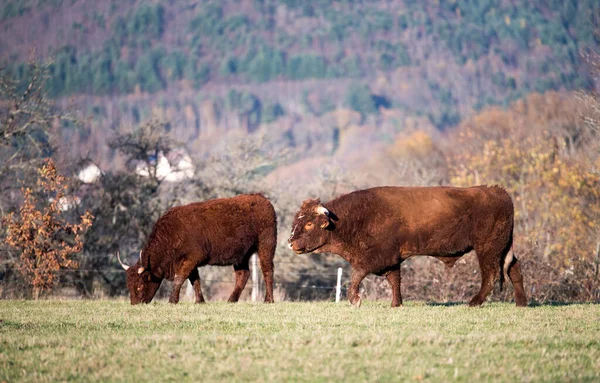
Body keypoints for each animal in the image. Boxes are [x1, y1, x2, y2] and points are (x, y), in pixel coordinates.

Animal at [116, 195, 276, 306]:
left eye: (139, 286)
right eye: (128, 286)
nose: (135, 304)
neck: (171, 233)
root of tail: (262, 199)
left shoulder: (192, 258)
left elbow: (179, 278)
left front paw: (172, 300)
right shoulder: (190, 262)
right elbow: (195, 280)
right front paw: (200, 301)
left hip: (265, 246)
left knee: (267, 271)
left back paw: (269, 300)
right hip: (241, 256)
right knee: (243, 275)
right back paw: (231, 300)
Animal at [288, 186, 528, 308]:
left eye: (309, 223)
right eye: (295, 222)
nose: (290, 242)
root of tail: (498, 191)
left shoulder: (376, 258)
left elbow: (357, 275)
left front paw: (355, 300)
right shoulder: (392, 260)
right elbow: (395, 281)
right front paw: (396, 304)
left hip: (487, 249)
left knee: (491, 275)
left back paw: (474, 302)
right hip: (503, 249)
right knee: (514, 270)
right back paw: (521, 303)